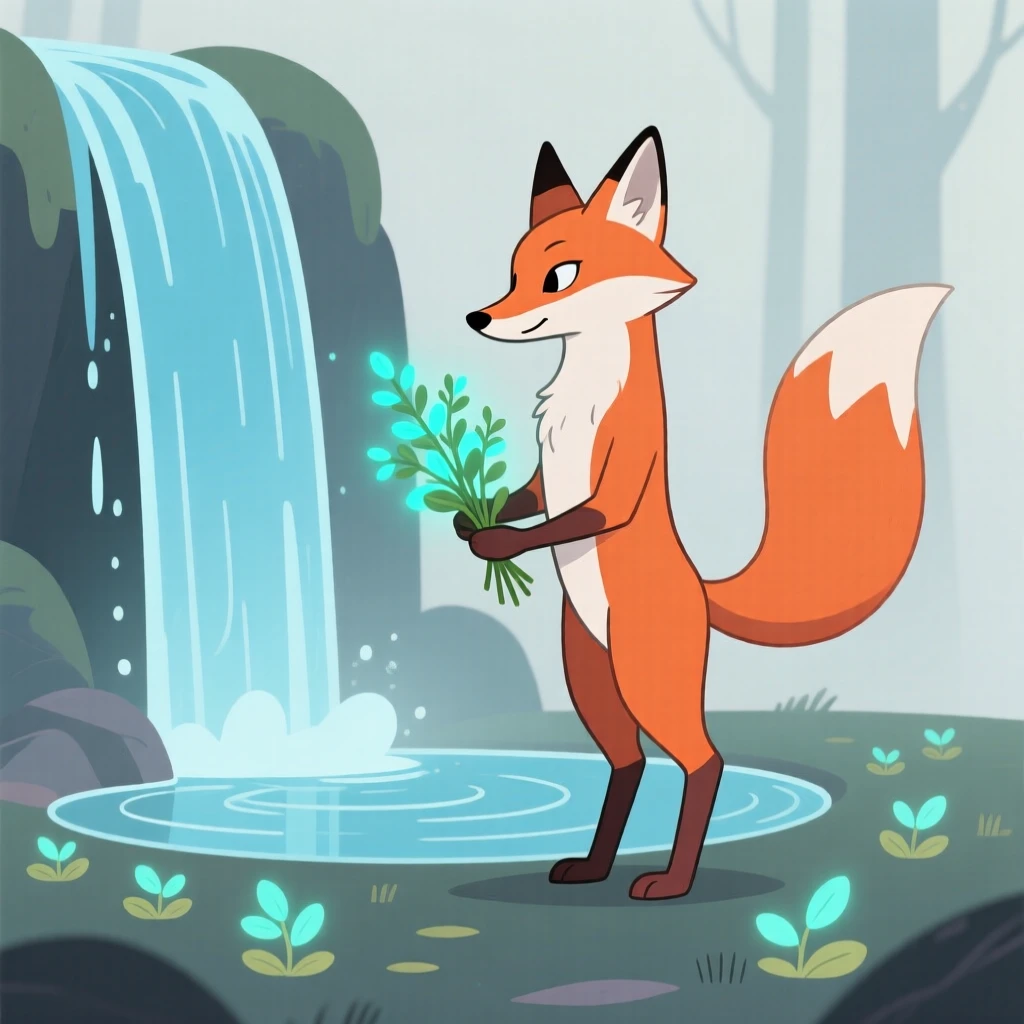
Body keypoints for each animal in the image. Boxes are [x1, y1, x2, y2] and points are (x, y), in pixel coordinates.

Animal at [456, 125, 951, 901]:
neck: (583, 388)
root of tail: (699, 589)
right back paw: (593, 867)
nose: (478, 317)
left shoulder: (620, 473)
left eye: (560, 276)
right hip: (591, 677)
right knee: (628, 764)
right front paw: (478, 518)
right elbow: (530, 496)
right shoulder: (545, 472)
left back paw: (671, 881)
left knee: (704, 761)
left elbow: (576, 516)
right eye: (512, 273)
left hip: (646, 679)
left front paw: (499, 543)